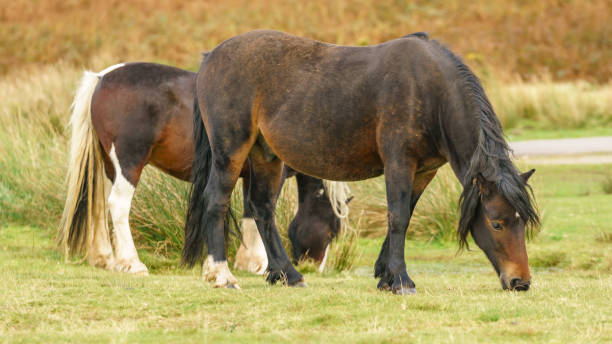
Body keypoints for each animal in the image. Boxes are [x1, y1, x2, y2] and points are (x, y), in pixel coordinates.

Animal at [59, 62, 352, 276]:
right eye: (331, 229)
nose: (316, 267)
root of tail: (102, 77)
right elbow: (259, 211)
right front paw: (258, 263)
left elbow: (249, 211)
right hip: (129, 163)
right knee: (118, 205)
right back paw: (132, 262)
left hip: (110, 167)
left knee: (98, 205)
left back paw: (106, 259)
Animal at [184, 30, 536, 292]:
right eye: (496, 222)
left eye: (522, 221)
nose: (520, 282)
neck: (428, 89)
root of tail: (211, 57)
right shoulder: (399, 163)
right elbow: (398, 217)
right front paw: (401, 280)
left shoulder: (424, 171)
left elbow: (405, 215)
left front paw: (386, 275)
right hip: (231, 151)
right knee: (216, 202)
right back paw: (222, 276)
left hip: (266, 156)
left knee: (262, 209)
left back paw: (287, 275)